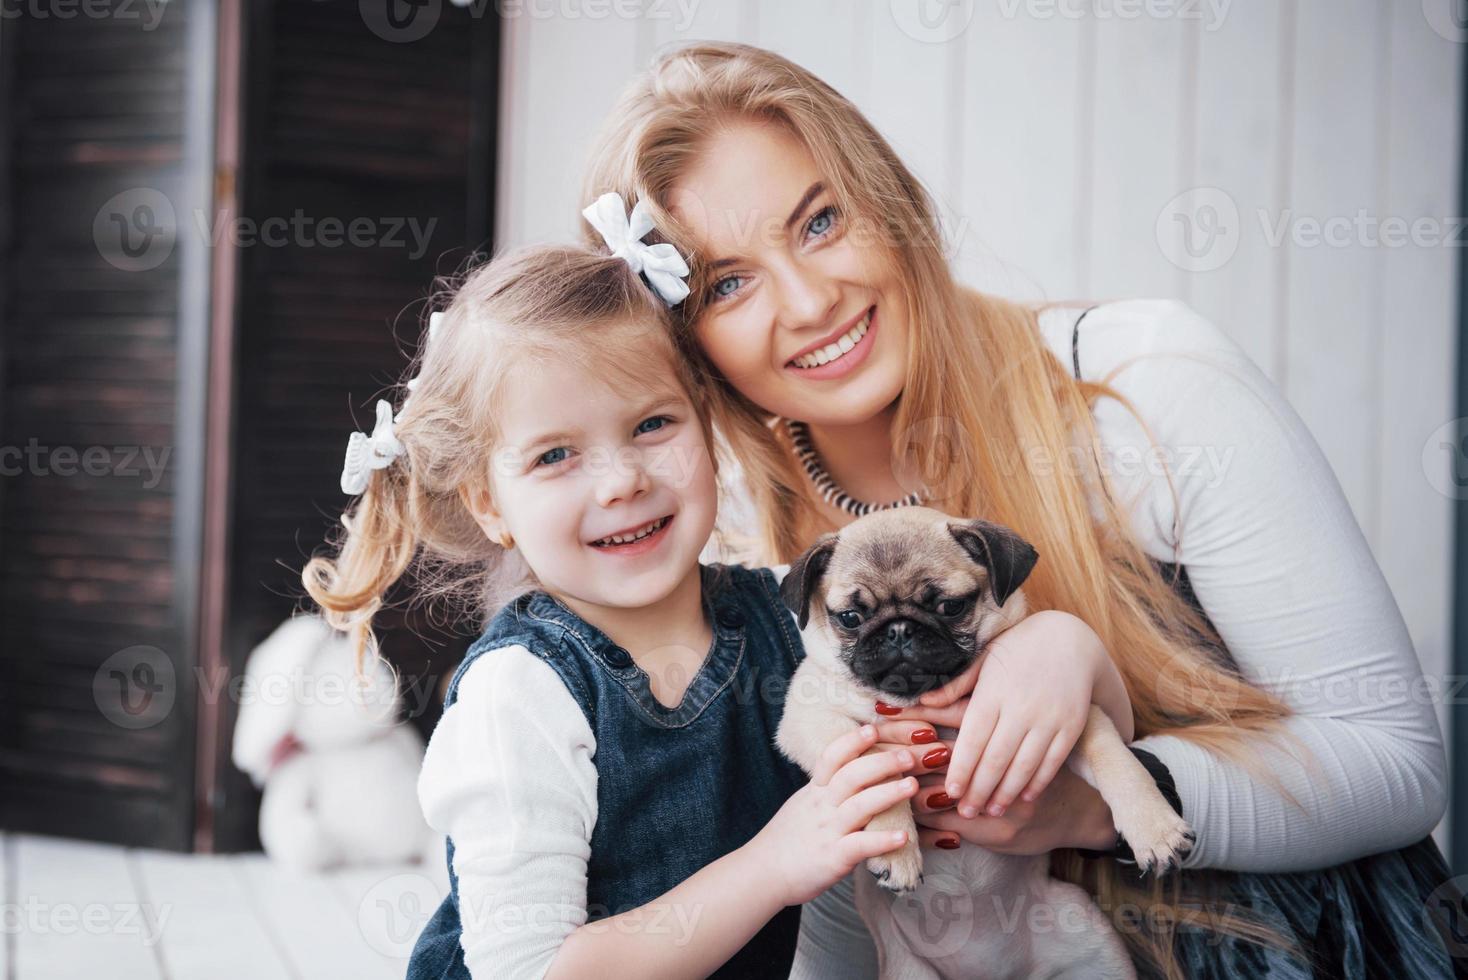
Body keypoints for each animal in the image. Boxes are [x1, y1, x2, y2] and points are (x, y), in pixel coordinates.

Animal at [775, 510, 1197, 974]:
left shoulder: (1067, 718)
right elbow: (874, 767)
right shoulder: (811, 717)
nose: (898, 630)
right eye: (850, 617)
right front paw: (896, 850)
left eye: (951, 606)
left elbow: (1116, 760)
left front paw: (1154, 827)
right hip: (909, 968)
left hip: (1094, 940)